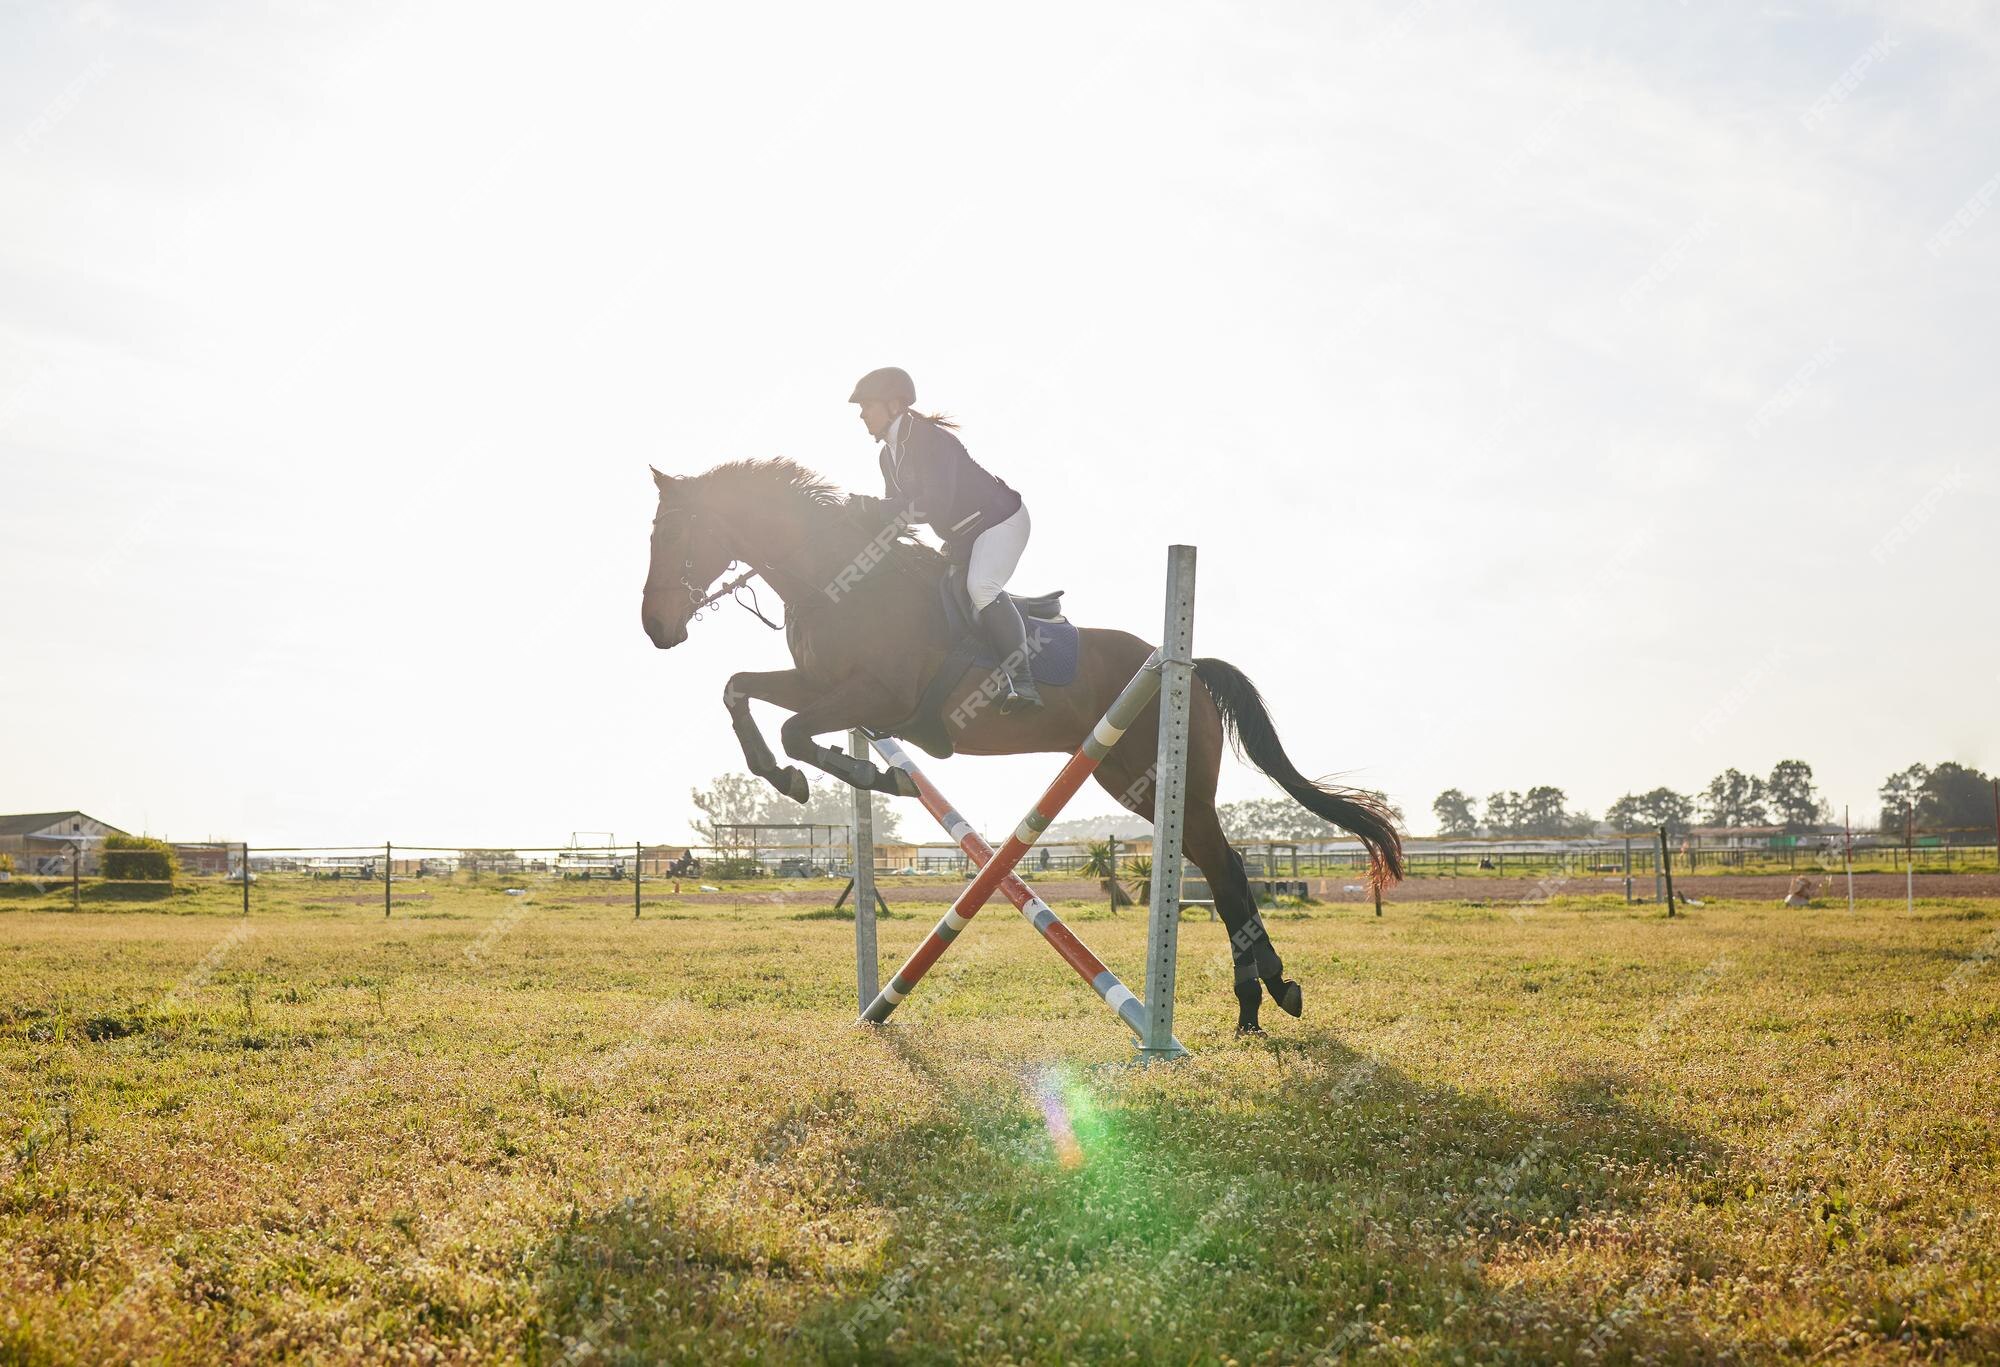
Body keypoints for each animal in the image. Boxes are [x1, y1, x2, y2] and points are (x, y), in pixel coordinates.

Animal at [644, 453, 1408, 1031]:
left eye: (674, 537)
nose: (655, 627)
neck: (838, 582)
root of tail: (1182, 663)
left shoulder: (880, 698)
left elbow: (795, 728)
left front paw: (859, 778)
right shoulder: (819, 684)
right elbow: (741, 691)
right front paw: (789, 775)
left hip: (1161, 785)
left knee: (1225, 870)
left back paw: (1265, 992)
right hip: (1138, 785)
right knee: (1224, 870)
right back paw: (1260, 999)